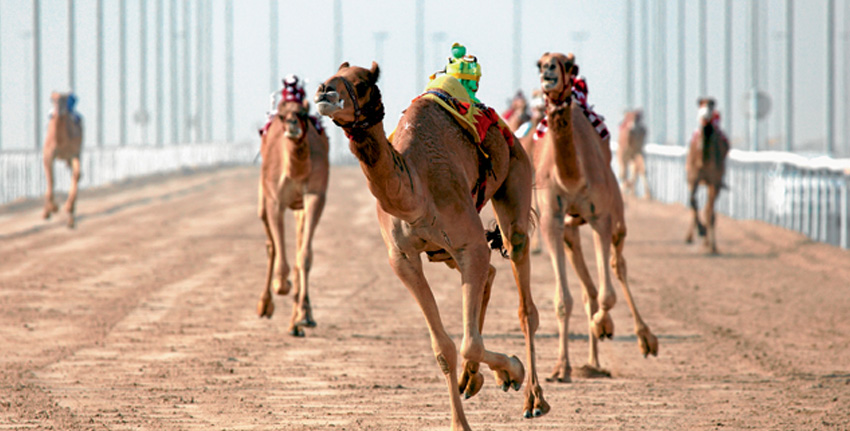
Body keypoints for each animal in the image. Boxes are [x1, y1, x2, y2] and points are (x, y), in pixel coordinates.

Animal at [42, 90, 83, 228]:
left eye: (65, 99)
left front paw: (60, 208)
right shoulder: (48, 155)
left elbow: (76, 175)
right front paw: (50, 210)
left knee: (76, 175)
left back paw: (70, 215)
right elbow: (51, 179)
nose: (59, 112)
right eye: (52, 99)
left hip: (72, 156)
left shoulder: (74, 153)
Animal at [255, 76, 328, 338]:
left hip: (299, 207)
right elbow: (279, 250)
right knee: (270, 244)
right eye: (281, 115)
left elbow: (304, 255)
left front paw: (304, 317)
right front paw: (281, 284)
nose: (292, 124)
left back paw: (296, 321)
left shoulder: (315, 196)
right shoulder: (275, 200)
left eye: (304, 113)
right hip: (263, 197)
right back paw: (265, 304)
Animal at [314, 61, 548, 431]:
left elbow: (468, 343)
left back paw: (533, 399)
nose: (325, 92)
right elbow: (444, 347)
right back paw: (474, 379)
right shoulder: (403, 258)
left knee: (523, 294)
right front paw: (463, 417)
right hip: (446, 251)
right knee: (490, 274)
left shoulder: (468, 243)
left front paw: (514, 370)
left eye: (362, 83)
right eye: (328, 75)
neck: (416, 194)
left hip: (516, 170)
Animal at [532, 52, 660, 384]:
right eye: (539, 63)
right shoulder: (552, 220)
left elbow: (608, 295)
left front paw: (605, 325)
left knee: (618, 266)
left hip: (616, 216)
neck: (571, 178)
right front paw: (560, 368)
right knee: (587, 287)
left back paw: (644, 339)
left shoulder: (601, 217)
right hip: (570, 230)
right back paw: (590, 363)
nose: (549, 72)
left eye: (567, 64)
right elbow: (563, 299)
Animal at [684, 97, 728, 256]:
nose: (706, 118)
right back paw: (691, 236)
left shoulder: (715, 182)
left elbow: (710, 212)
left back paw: (709, 243)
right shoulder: (693, 179)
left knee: (709, 209)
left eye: (711, 106)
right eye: (700, 106)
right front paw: (701, 230)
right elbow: (692, 201)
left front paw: (712, 245)